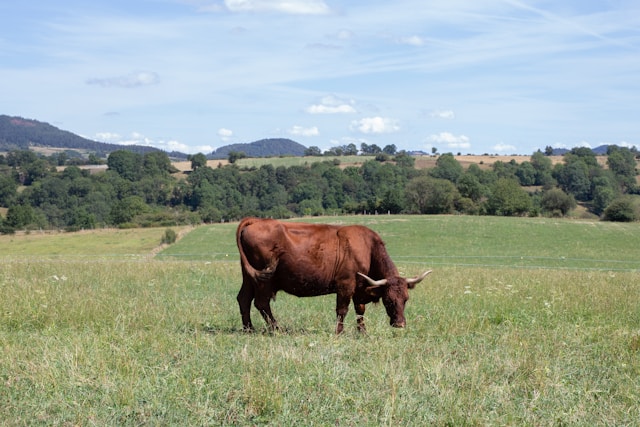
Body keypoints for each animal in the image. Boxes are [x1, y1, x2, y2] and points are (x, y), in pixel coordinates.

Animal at [235, 219, 430, 336]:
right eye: (388, 300)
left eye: (406, 299)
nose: (400, 324)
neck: (367, 248)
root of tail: (256, 221)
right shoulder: (345, 285)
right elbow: (342, 310)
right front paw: (339, 332)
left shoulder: (359, 288)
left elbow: (360, 311)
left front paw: (362, 332)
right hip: (264, 280)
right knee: (261, 303)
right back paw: (276, 328)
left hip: (249, 277)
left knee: (244, 299)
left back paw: (248, 329)